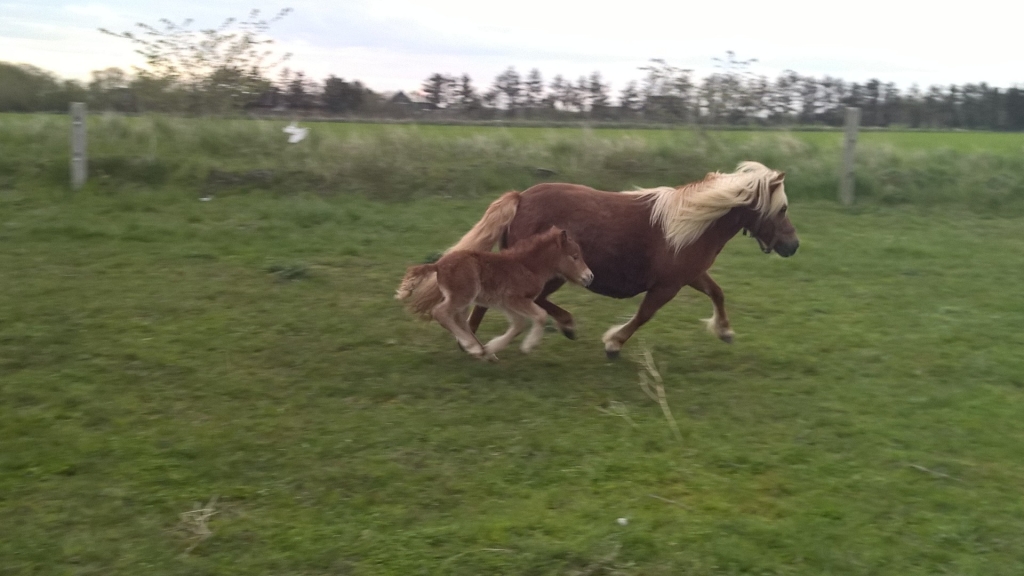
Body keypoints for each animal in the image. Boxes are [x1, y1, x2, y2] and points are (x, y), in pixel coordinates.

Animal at [401, 161, 798, 356]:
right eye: (782, 209)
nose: (793, 246)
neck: (691, 223)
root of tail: (521, 197)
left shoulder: (689, 275)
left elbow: (717, 293)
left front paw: (725, 332)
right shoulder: (667, 285)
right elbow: (644, 315)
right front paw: (613, 343)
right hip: (550, 272)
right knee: (520, 299)